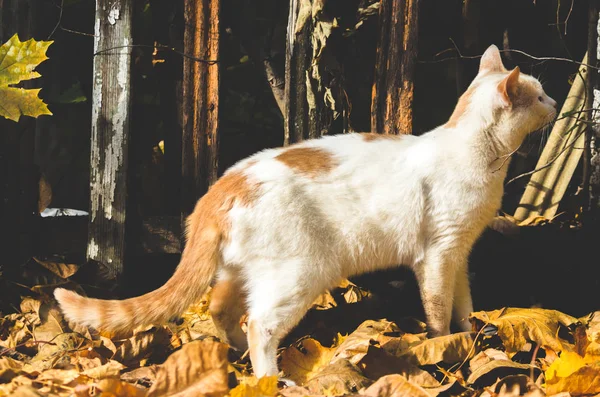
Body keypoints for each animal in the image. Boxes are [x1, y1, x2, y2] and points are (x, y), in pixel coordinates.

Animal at [55, 44, 556, 376]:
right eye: (538, 96)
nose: (554, 102)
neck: (481, 158)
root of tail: (222, 187)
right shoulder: (437, 256)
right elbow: (436, 311)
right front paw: (445, 349)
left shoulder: (460, 254)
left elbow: (465, 304)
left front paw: (471, 336)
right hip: (301, 273)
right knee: (259, 324)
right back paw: (269, 379)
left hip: (245, 273)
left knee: (221, 309)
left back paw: (237, 356)